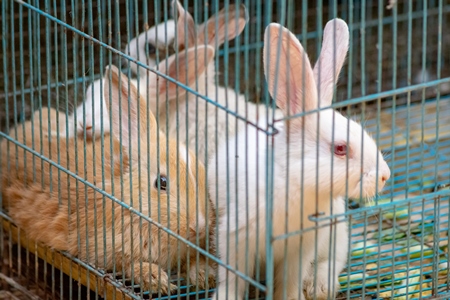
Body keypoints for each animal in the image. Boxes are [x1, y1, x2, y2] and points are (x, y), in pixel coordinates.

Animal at [0, 65, 216, 292]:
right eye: (161, 183)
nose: (199, 225)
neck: (132, 203)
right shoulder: (107, 251)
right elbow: (130, 265)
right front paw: (156, 279)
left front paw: (204, 275)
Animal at [207, 19, 390, 298]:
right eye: (340, 148)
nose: (384, 176)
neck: (297, 183)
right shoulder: (236, 237)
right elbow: (233, 278)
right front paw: (225, 296)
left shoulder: (300, 250)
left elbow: (290, 280)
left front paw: (293, 296)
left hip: (336, 233)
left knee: (333, 261)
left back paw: (320, 286)